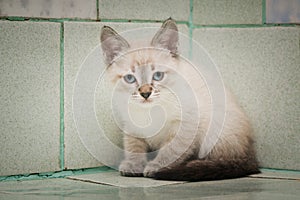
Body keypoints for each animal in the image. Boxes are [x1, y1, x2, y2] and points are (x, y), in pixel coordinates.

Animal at [99, 18, 258, 181]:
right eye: (130, 78)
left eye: (158, 76)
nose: (145, 93)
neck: (150, 111)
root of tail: (251, 152)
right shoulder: (132, 125)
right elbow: (133, 146)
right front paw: (133, 165)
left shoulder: (186, 125)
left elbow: (171, 150)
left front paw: (157, 166)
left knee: (224, 159)